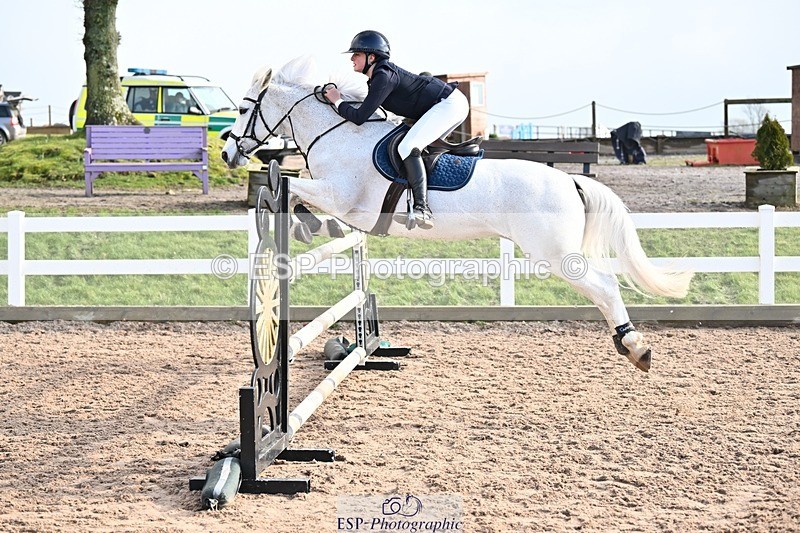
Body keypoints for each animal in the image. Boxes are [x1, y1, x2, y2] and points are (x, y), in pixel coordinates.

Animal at [221, 56, 693, 372]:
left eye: (243, 110)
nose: (227, 153)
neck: (337, 133)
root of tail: (571, 181)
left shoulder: (339, 195)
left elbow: (288, 186)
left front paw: (299, 219)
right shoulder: (344, 206)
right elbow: (301, 197)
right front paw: (310, 225)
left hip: (555, 255)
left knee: (605, 286)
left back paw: (636, 348)